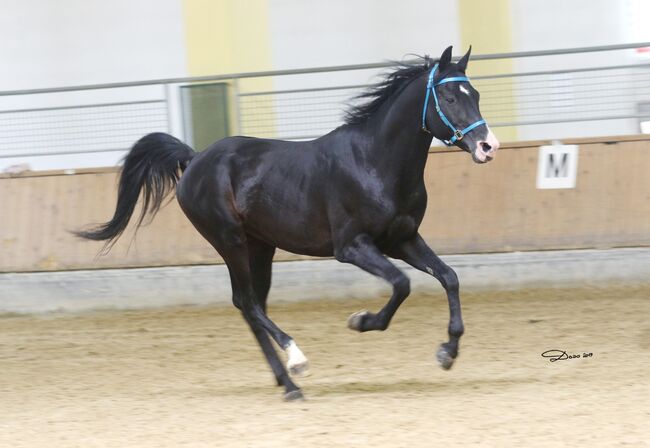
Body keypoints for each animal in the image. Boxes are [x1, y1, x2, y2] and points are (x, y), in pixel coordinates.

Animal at [78, 47, 498, 400]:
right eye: (449, 98)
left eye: (475, 94)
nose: (487, 146)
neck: (373, 162)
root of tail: (195, 159)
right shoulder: (352, 247)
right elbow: (401, 284)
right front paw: (361, 321)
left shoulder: (403, 240)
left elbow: (448, 277)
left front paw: (447, 353)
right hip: (230, 240)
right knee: (248, 303)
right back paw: (296, 363)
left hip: (261, 246)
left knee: (251, 305)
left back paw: (288, 384)